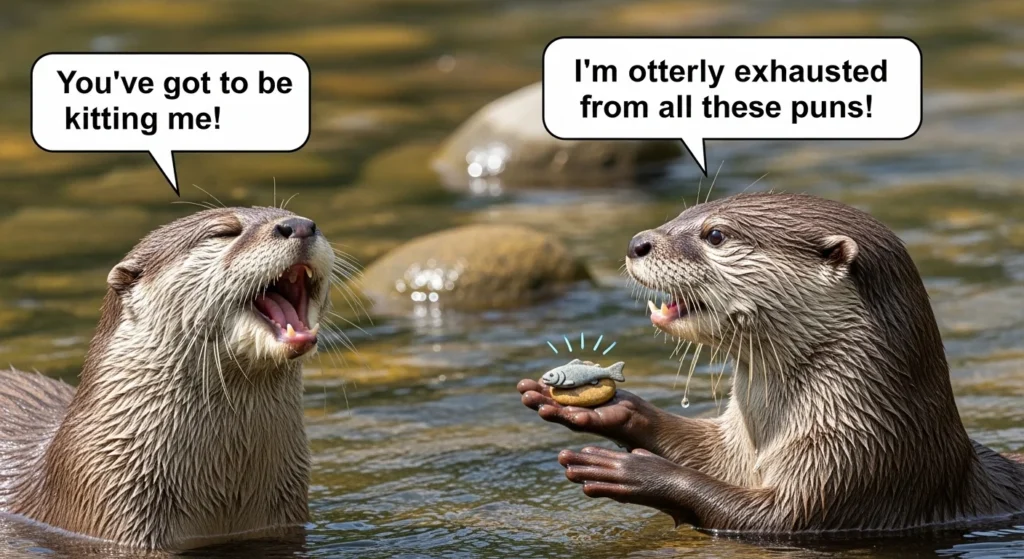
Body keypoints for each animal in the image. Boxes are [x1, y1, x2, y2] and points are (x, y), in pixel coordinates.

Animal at [520, 192, 1024, 534]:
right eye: (681, 214)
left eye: (715, 234)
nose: (637, 242)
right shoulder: (742, 448)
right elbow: (708, 455)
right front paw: (615, 409)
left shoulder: (855, 467)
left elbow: (772, 516)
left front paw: (637, 473)